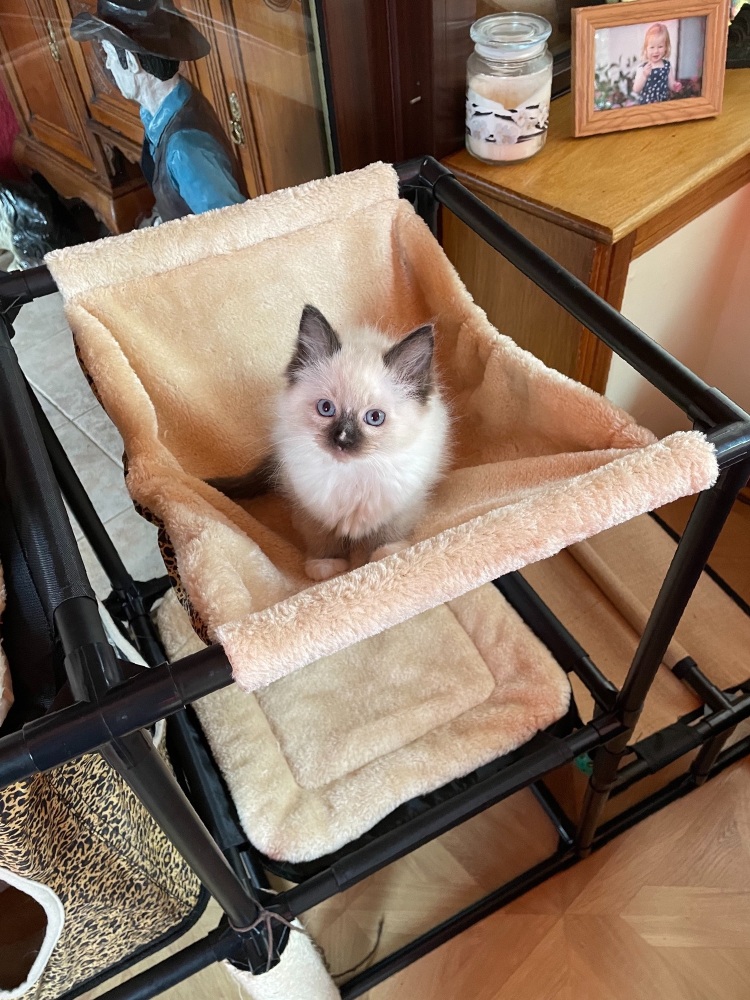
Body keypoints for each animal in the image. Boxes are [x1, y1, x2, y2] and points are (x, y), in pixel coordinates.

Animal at [209, 308, 450, 584]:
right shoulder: (310, 507)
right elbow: (321, 538)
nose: (343, 439)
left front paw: (387, 553)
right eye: (326, 409)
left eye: (374, 418)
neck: (352, 474)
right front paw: (326, 564)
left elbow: (389, 531)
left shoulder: (403, 502)